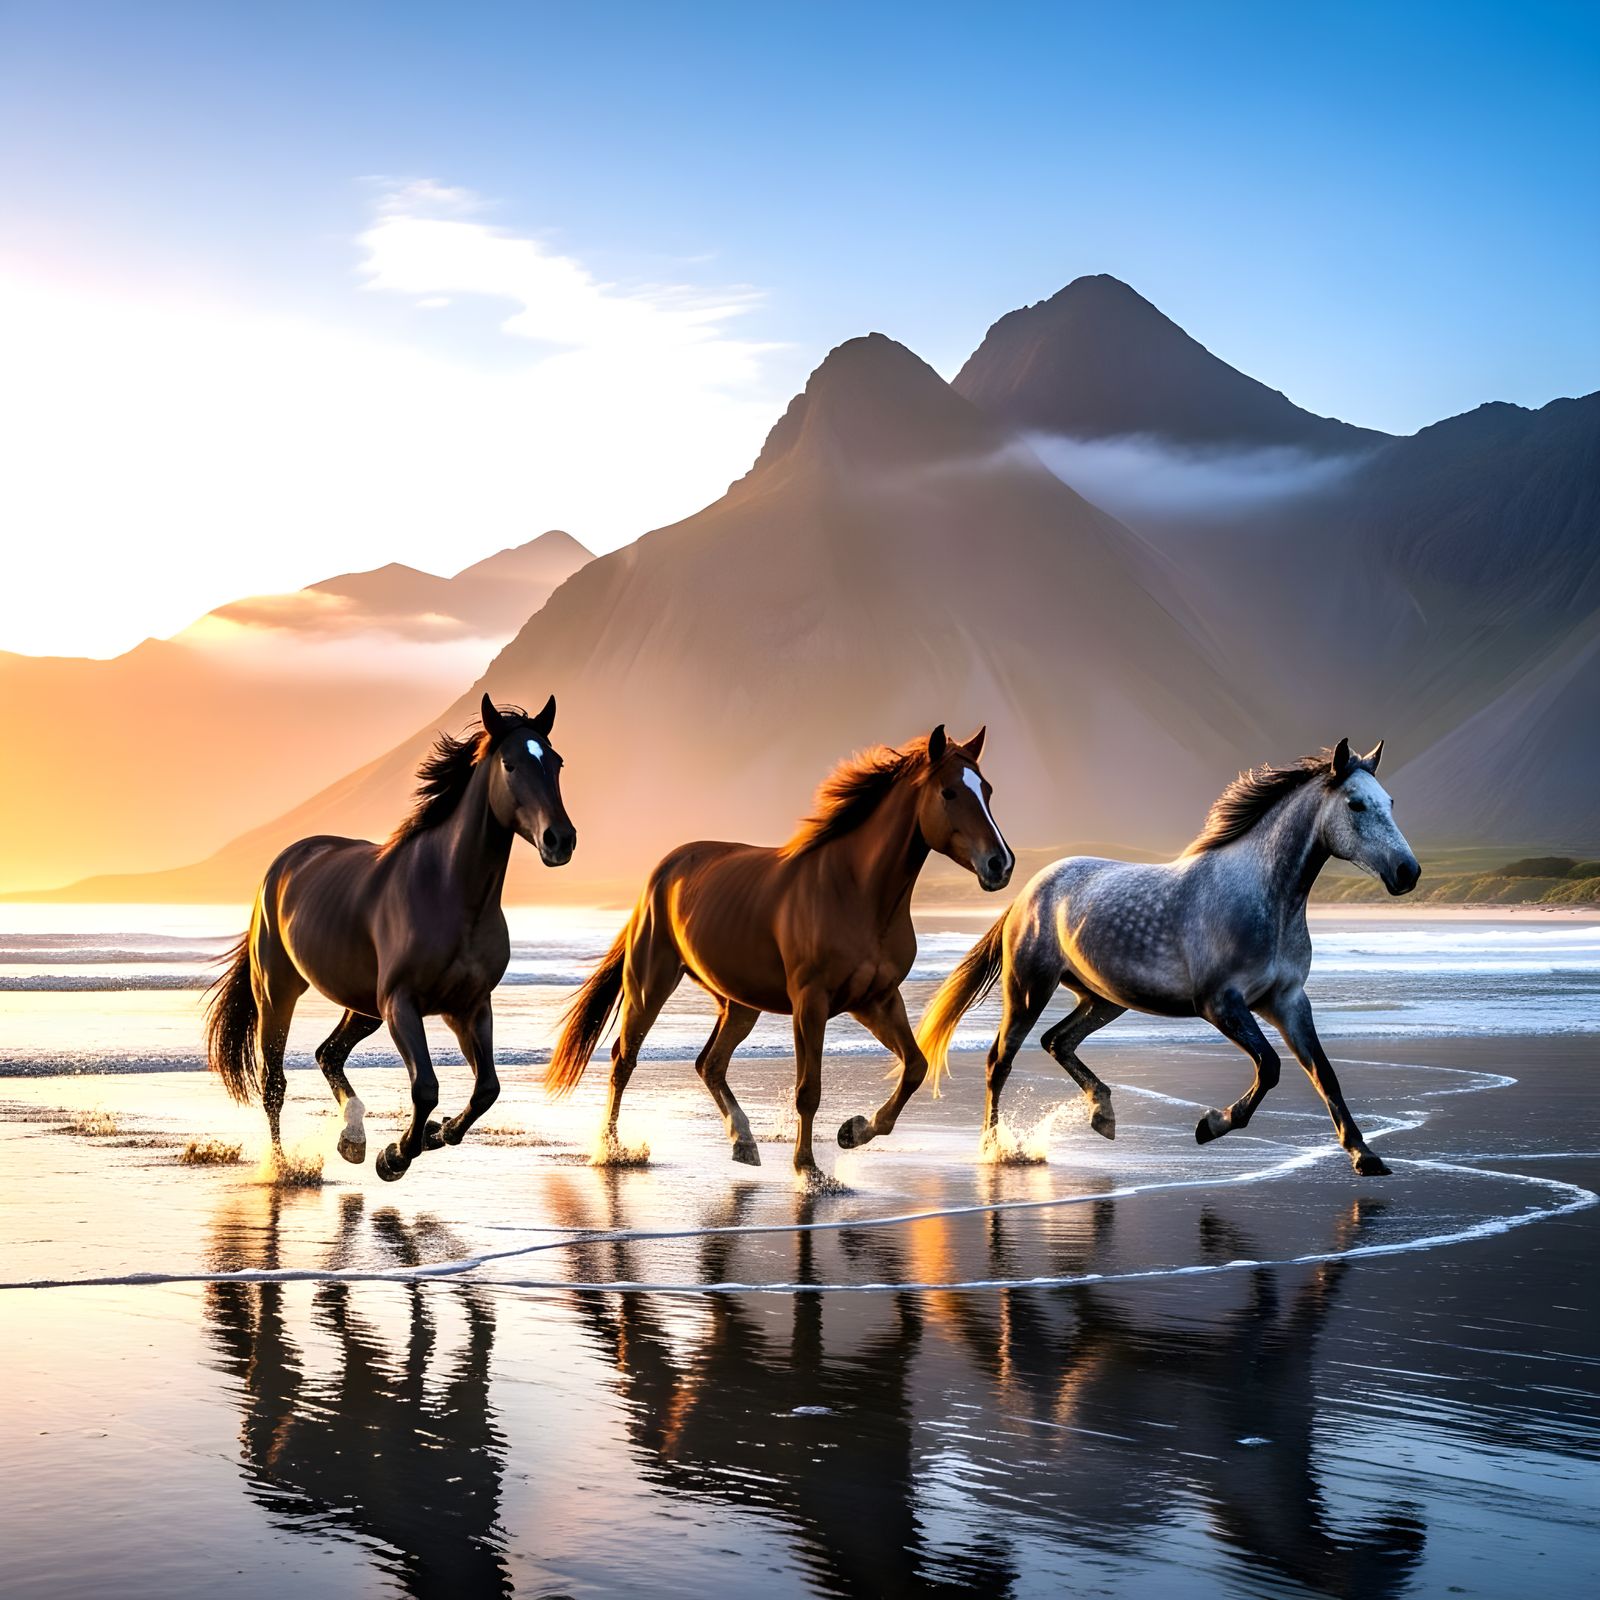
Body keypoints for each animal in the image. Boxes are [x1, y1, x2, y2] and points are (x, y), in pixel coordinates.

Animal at [204, 694, 576, 1181]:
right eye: (510, 764)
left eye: (556, 761)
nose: (560, 840)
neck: (450, 894)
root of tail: (284, 862)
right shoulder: (402, 1003)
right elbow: (426, 1087)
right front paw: (395, 1156)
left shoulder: (469, 1007)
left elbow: (486, 1089)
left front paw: (436, 1133)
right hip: (279, 991)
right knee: (275, 1083)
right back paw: (284, 1167)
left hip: (363, 1008)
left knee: (328, 1053)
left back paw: (353, 1138)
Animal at [545, 725, 1013, 1176]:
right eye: (949, 792)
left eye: (988, 790)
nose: (1000, 864)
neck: (857, 892)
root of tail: (664, 870)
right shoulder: (810, 1002)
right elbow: (809, 1090)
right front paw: (808, 1168)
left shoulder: (876, 999)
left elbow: (915, 1066)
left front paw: (853, 1131)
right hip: (651, 984)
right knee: (624, 1059)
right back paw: (613, 1150)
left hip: (738, 1003)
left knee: (709, 1063)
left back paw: (743, 1141)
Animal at [917, 739, 1419, 1176]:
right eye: (1355, 804)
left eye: (1391, 802)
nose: (1407, 872)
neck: (1264, 897)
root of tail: (1027, 892)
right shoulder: (1221, 1004)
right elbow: (1270, 1067)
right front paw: (1211, 1126)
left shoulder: (1289, 1000)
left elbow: (1323, 1073)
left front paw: (1365, 1157)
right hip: (1028, 989)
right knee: (999, 1061)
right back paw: (996, 1149)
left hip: (1105, 999)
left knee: (1057, 1041)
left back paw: (1103, 1115)